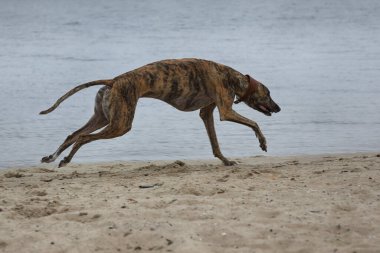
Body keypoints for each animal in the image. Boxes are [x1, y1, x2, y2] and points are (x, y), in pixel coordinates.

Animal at [40, 58, 280, 167]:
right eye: (268, 94)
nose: (278, 108)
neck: (230, 76)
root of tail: (114, 80)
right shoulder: (226, 111)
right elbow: (254, 123)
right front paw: (263, 142)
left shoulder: (207, 114)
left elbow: (215, 143)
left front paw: (225, 160)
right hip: (120, 124)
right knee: (82, 137)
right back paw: (65, 160)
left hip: (103, 117)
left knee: (73, 134)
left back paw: (52, 157)